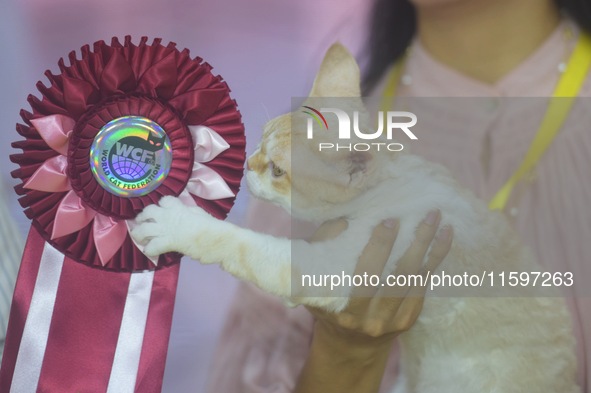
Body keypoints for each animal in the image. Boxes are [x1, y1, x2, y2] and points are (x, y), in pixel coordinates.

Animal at [132, 43, 580, 392]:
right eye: (259, 142)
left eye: (277, 171)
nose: (247, 166)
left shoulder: (325, 267)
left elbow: (239, 243)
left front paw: (179, 224)